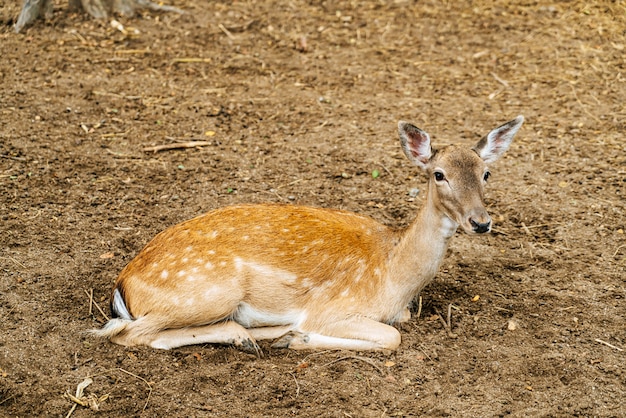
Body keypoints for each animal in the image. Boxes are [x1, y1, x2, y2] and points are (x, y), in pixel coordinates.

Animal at [92, 114, 520, 352]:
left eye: (486, 173)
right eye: (439, 174)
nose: (481, 222)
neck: (395, 277)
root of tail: (123, 285)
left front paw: (292, 336)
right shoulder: (334, 306)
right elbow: (391, 338)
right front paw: (300, 339)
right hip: (208, 291)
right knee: (125, 333)